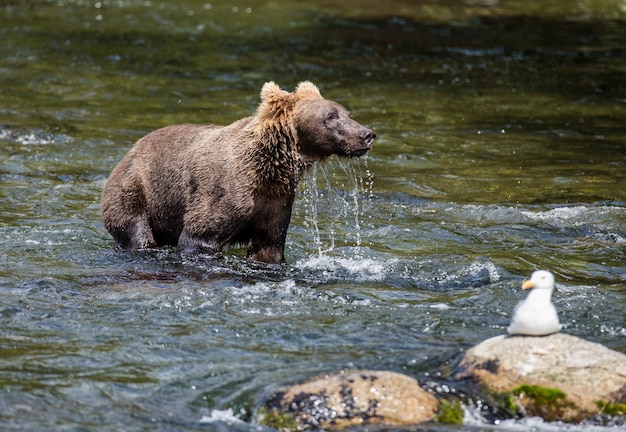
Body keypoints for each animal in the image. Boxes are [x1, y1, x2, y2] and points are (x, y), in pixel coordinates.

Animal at [102, 81, 372, 264]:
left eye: (347, 114)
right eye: (331, 117)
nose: (367, 134)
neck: (268, 168)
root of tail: (130, 150)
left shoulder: (276, 201)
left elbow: (269, 245)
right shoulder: (225, 191)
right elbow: (199, 237)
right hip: (137, 191)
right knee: (136, 231)